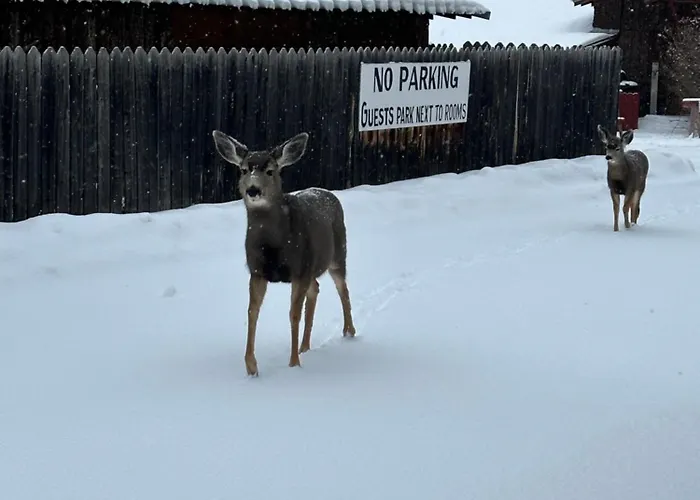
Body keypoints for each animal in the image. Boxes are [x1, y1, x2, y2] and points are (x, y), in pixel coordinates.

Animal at [211, 130, 356, 377]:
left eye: (270, 171)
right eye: (244, 169)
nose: (253, 190)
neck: (274, 247)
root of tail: (327, 192)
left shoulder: (299, 269)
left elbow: (293, 314)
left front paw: (293, 363)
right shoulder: (257, 271)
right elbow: (252, 312)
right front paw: (251, 367)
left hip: (338, 254)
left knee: (342, 288)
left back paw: (348, 332)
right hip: (314, 266)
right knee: (316, 288)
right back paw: (305, 346)